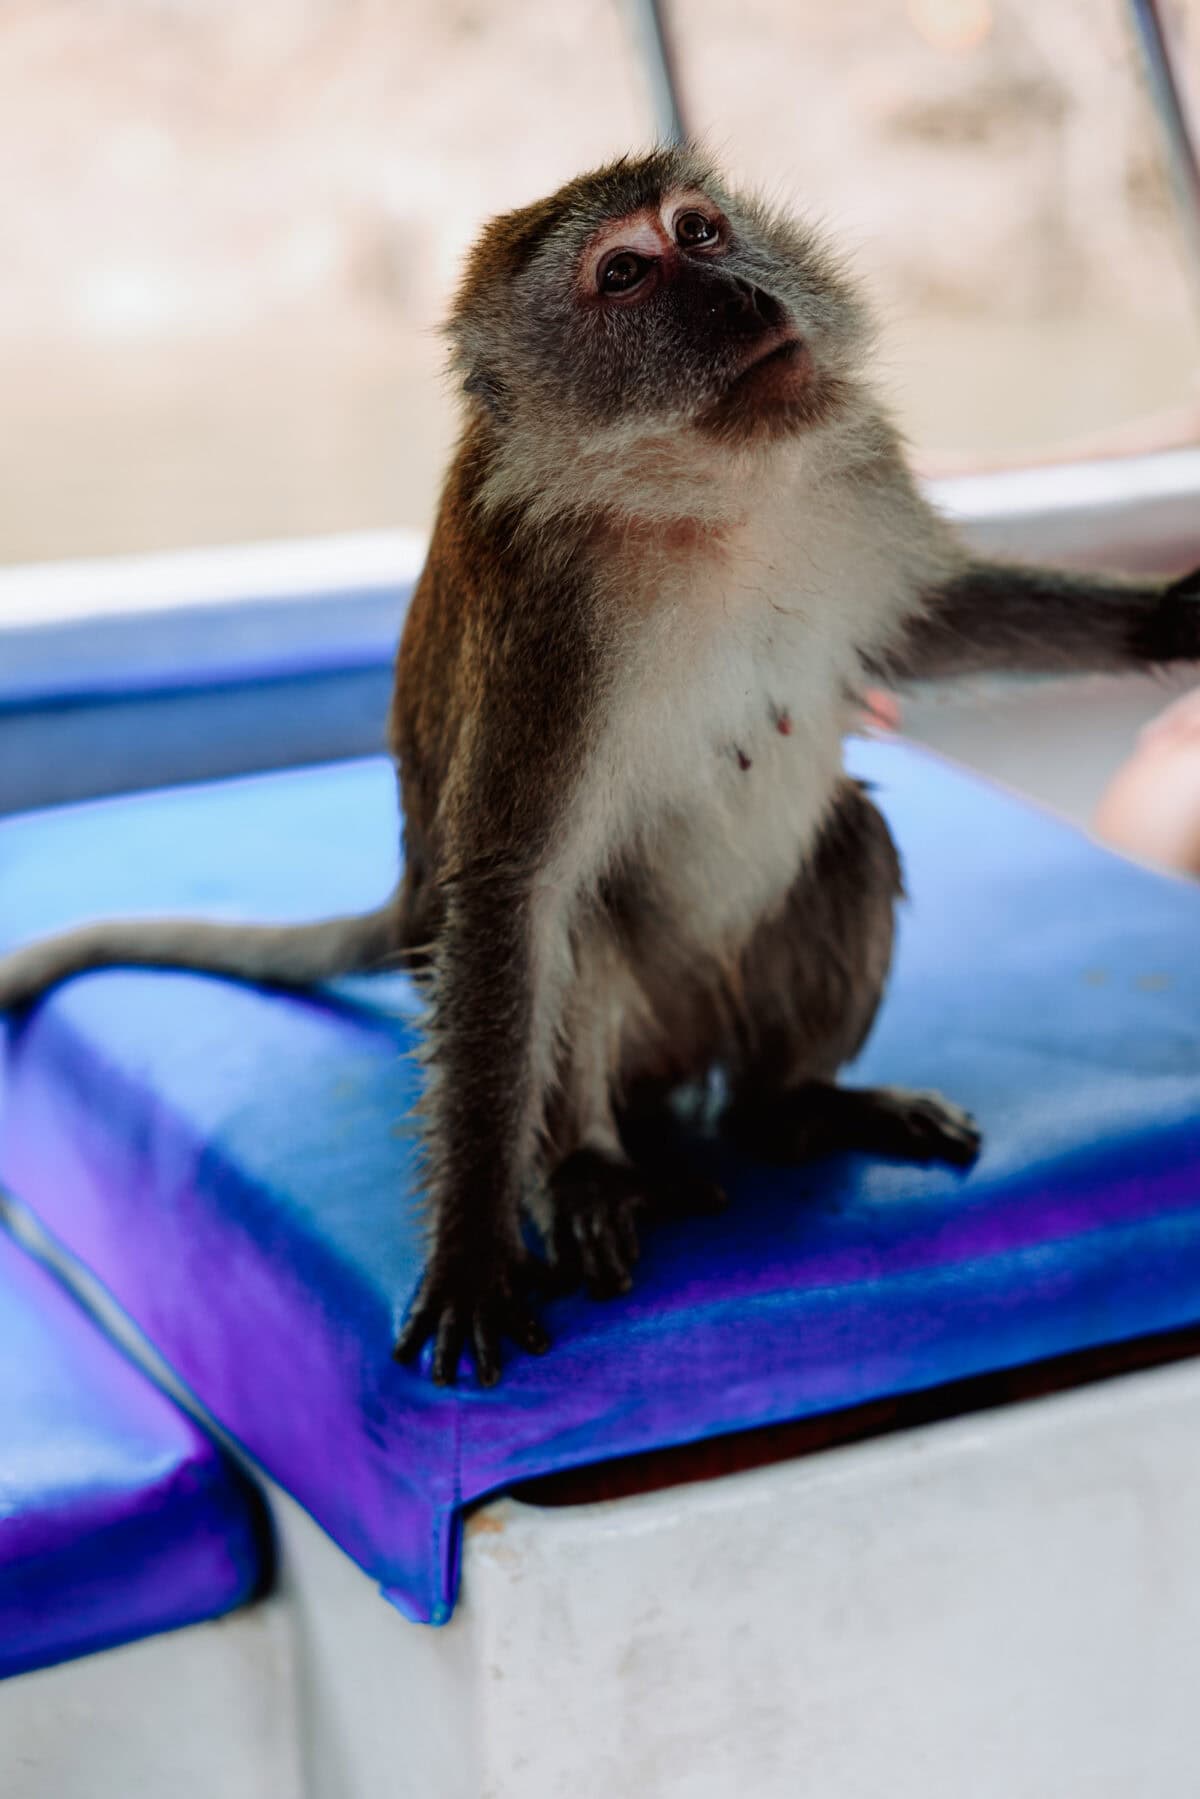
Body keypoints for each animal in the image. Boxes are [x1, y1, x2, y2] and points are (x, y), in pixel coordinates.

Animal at [2, 147, 1199, 1388]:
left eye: (701, 232)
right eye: (624, 274)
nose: (739, 296)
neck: (706, 501)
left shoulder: (855, 476)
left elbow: (927, 627)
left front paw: (1165, 618)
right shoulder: (552, 623)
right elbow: (514, 889)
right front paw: (471, 1249)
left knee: (847, 851)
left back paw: (800, 1104)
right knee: (579, 922)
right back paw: (588, 1173)